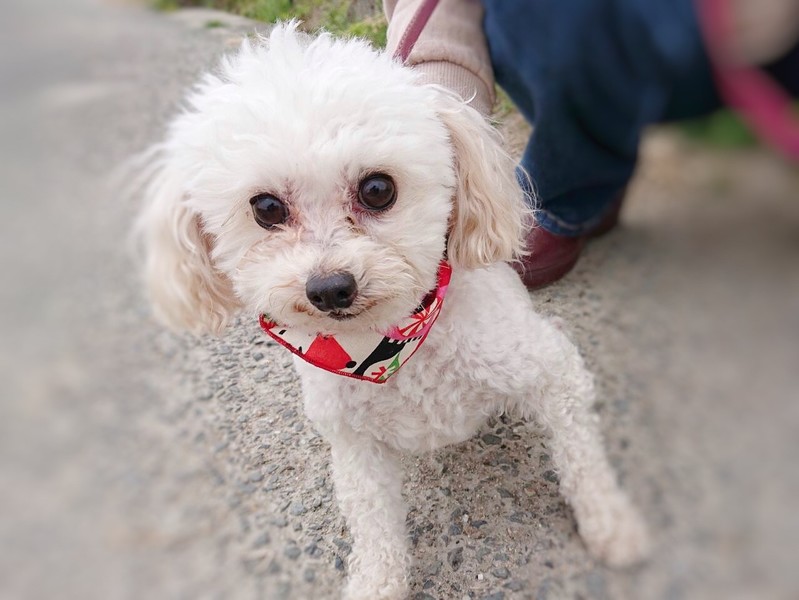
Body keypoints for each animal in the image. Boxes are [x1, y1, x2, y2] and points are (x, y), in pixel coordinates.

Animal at [136, 23, 649, 600]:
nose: (330, 288)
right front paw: (378, 582)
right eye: (265, 207)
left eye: (378, 189)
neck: (393, 344)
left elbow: (583, 459)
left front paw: (613, 524)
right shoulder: (354, 445)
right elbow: (373, 522)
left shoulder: (552, 370)